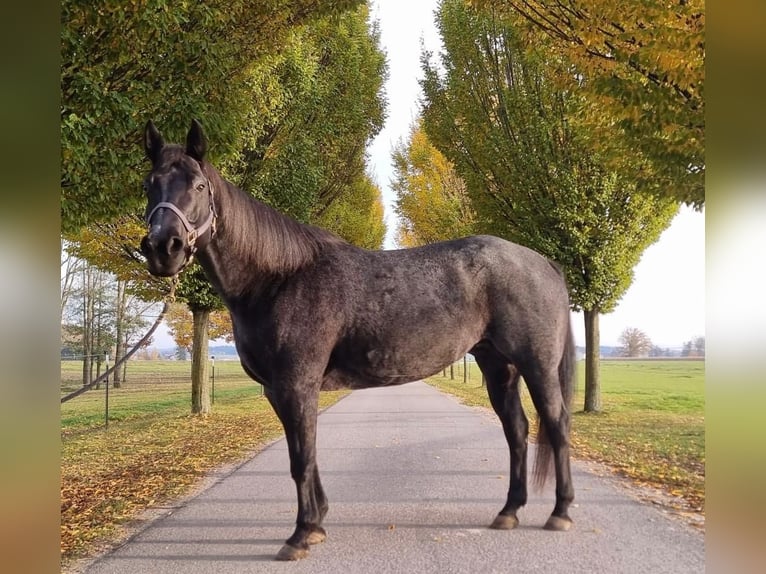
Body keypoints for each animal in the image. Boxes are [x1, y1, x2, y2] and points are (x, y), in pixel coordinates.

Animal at [140, 119, 576, 561]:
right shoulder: (278, 391)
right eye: (149, 183)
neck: (278, 279)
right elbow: (306, 456)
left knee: (556, 424)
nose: (163, 247)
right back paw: (509, 511)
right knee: (517, 430)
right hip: (498, 366)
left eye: (198, 186)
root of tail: (544, 263)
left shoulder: (297, 385)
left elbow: (302, 458)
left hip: (537, 365)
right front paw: (317, 524)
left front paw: (300, 535)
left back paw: (561, 512)